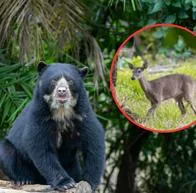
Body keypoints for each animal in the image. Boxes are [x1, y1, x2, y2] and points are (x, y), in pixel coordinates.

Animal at [0, 62, 105, 192]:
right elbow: (41, 148)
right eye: (54, 80)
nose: (62, 91)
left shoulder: (82, 116)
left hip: (72, 163)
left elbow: (93, 143)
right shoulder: (40, 117)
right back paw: (23, 179)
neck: (62, 111)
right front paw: (66, 183)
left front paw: (89, 182)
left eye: (70, 81)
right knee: (7, 151)